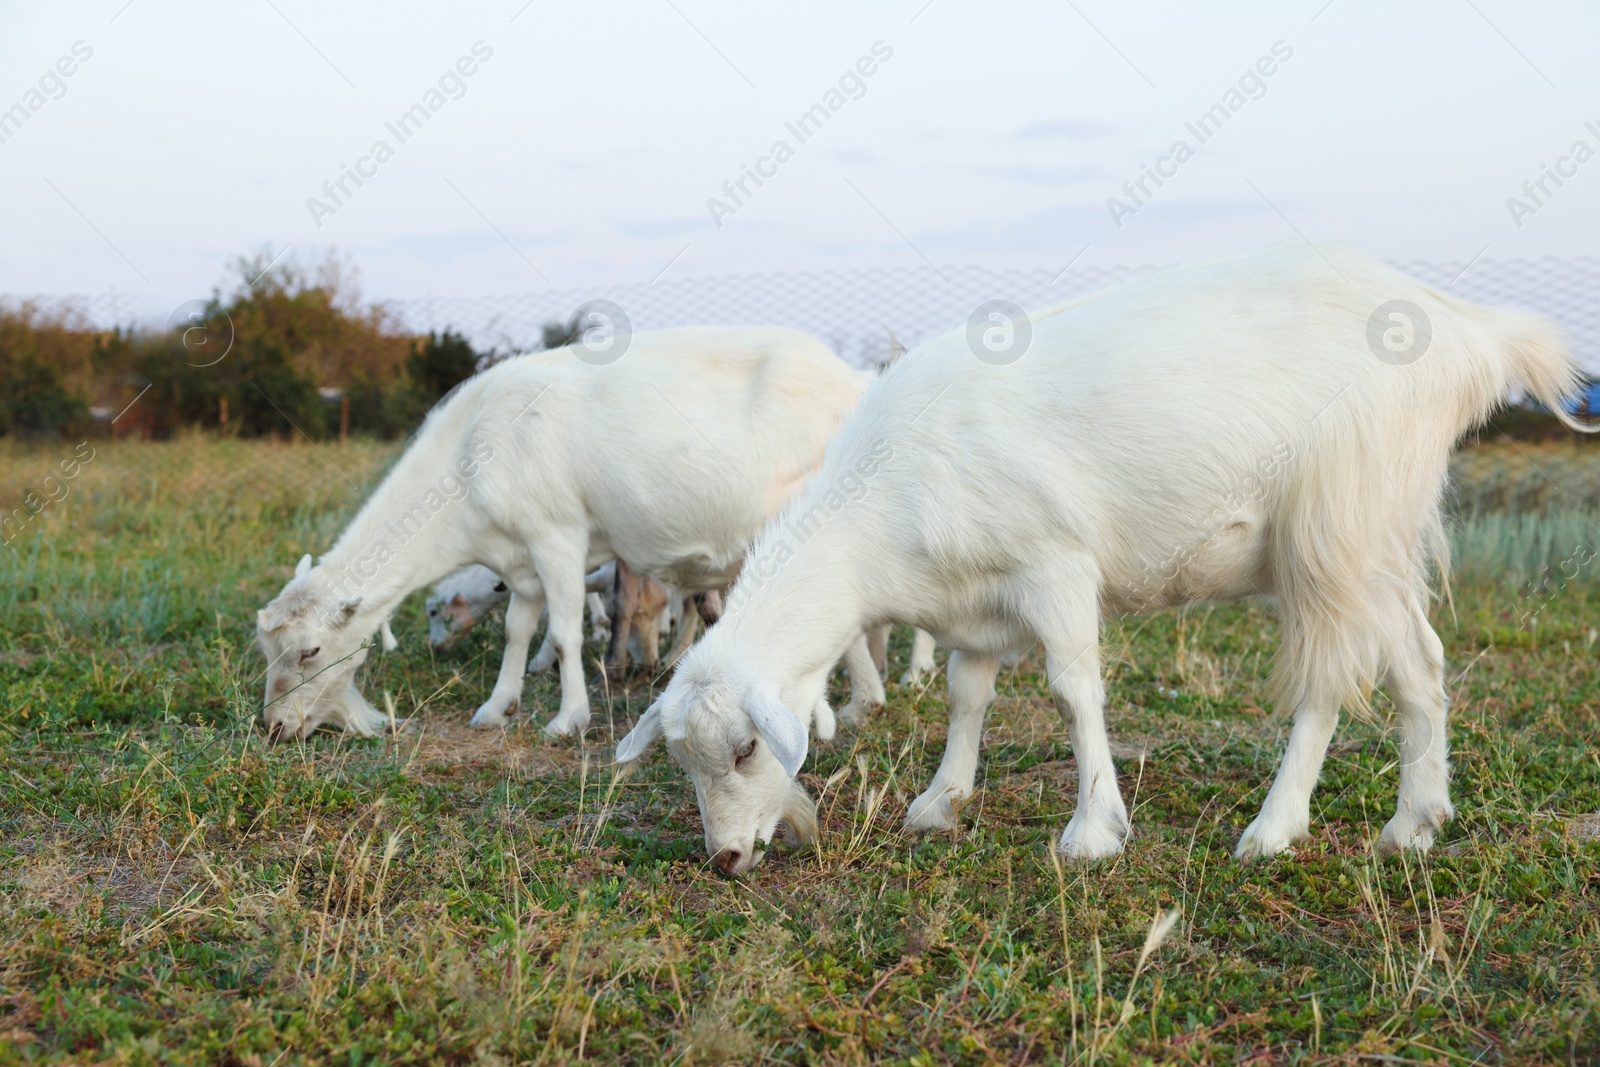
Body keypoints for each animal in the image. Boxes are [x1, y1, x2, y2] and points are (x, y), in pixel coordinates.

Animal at [265, 326, 889, 742]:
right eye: (266, 650)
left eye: (311, 650)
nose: (273, 724)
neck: (469, 457)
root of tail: (855, 382)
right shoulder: (519, 561)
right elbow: (517, 630)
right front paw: (497, 707)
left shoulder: (557, 538)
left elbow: (565, 634)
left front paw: (568, 718)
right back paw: (863, 706)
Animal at [614, 244, 1587, 876]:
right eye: (684, 762)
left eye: (747, 748)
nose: (725, 858)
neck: (877, 513)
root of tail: (1471, 336)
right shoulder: (978, 599)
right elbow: (968, 694)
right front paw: (941, 801)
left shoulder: (1054, 567)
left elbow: (1072, 692)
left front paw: (1094, 829)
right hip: (1380, 533)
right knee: (1420, 660)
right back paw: (1416, 822)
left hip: (1334, 526)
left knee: (1327, 681)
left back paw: (1275, 828)